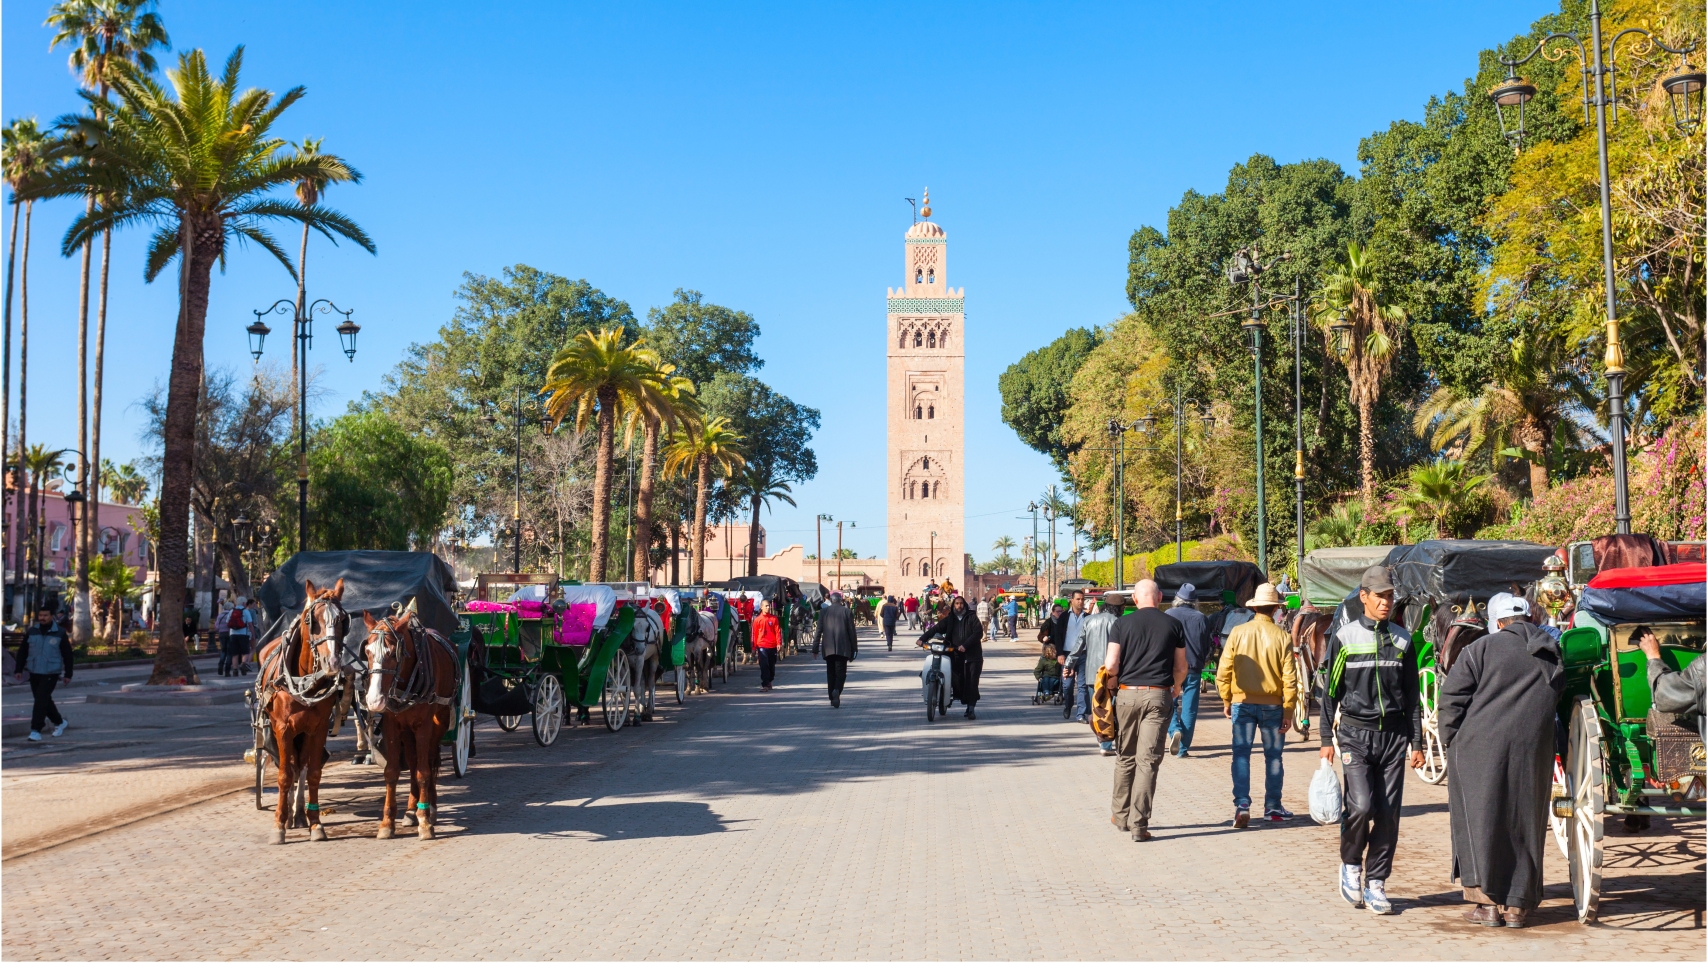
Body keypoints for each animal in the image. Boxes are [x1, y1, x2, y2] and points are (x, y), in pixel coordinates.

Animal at [252, 580, 350, 843]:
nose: (332, 663)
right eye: (310, 620)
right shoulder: (282, 728)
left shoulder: (318, 729)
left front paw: (315, 823)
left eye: (343, 619)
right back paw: (287, 814)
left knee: (301, 767)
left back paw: (298, 814)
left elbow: (313, 772)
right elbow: (284, 775)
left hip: (303, 733)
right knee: (288, 767)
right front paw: (278, 825)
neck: (304, 683)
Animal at [362, 597, 457, 840]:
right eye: (366, 650)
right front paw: (387, 822)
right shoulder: (392, 724)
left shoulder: (424, 725)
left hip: (439, 722)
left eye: (392, 653)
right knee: (414, 762)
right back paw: (411, 810)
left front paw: (425, 822)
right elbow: (392, 772)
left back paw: (430, 809)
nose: (374, 700)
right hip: (407, 729)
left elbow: (424, 772)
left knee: (429, 760)